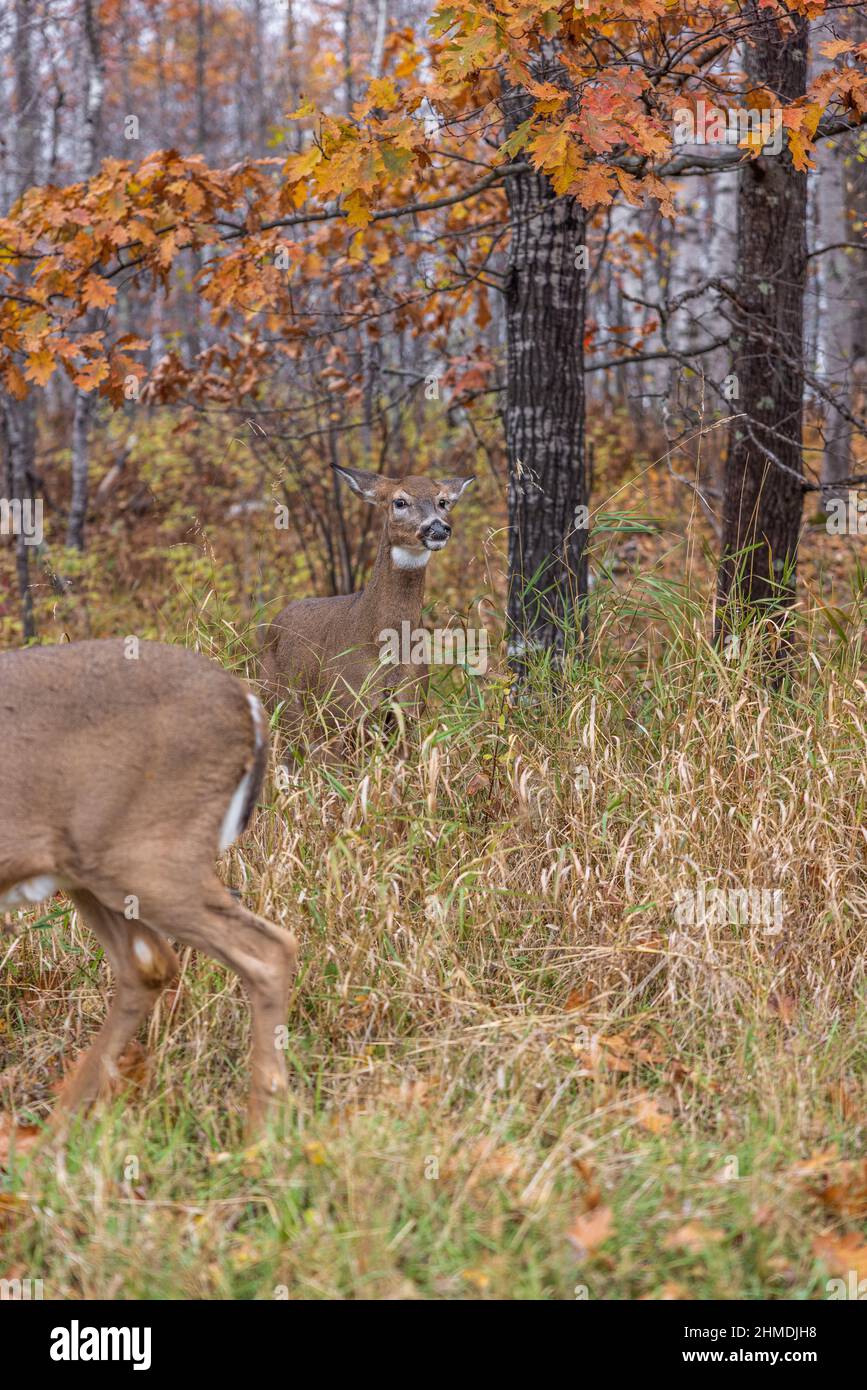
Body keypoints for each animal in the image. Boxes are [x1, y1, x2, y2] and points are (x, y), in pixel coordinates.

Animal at [0, 639, 295, 1139]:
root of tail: (248, 702)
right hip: (92, 870)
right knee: (148, 964)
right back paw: (51, 1140)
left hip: (146, 853)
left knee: (269, 949)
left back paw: (257, 1139)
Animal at [258, 467, 475, 750]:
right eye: (400, 502)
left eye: (443, 502)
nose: (437, 527)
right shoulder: (341, 710)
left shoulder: (410, 710)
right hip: (281, 705)